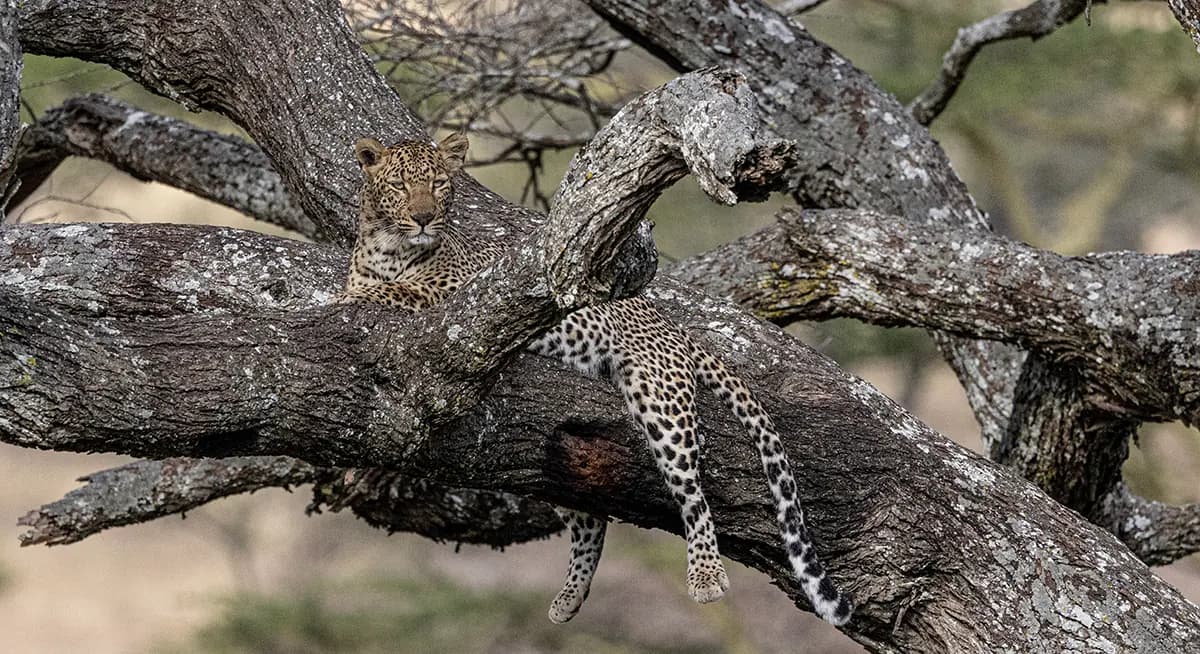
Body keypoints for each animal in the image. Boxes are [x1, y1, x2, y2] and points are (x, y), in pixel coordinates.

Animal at [338, 133, 853, 627]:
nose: (424, 218)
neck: (388, 247)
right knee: (591, 517)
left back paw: (706, 575)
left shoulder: (457, 293)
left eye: (439, 184)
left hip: (660, 401)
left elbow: (399, 289)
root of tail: (672, 323)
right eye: (400, 185)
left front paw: (353, 295)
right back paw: (570, 596)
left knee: (693, 494)